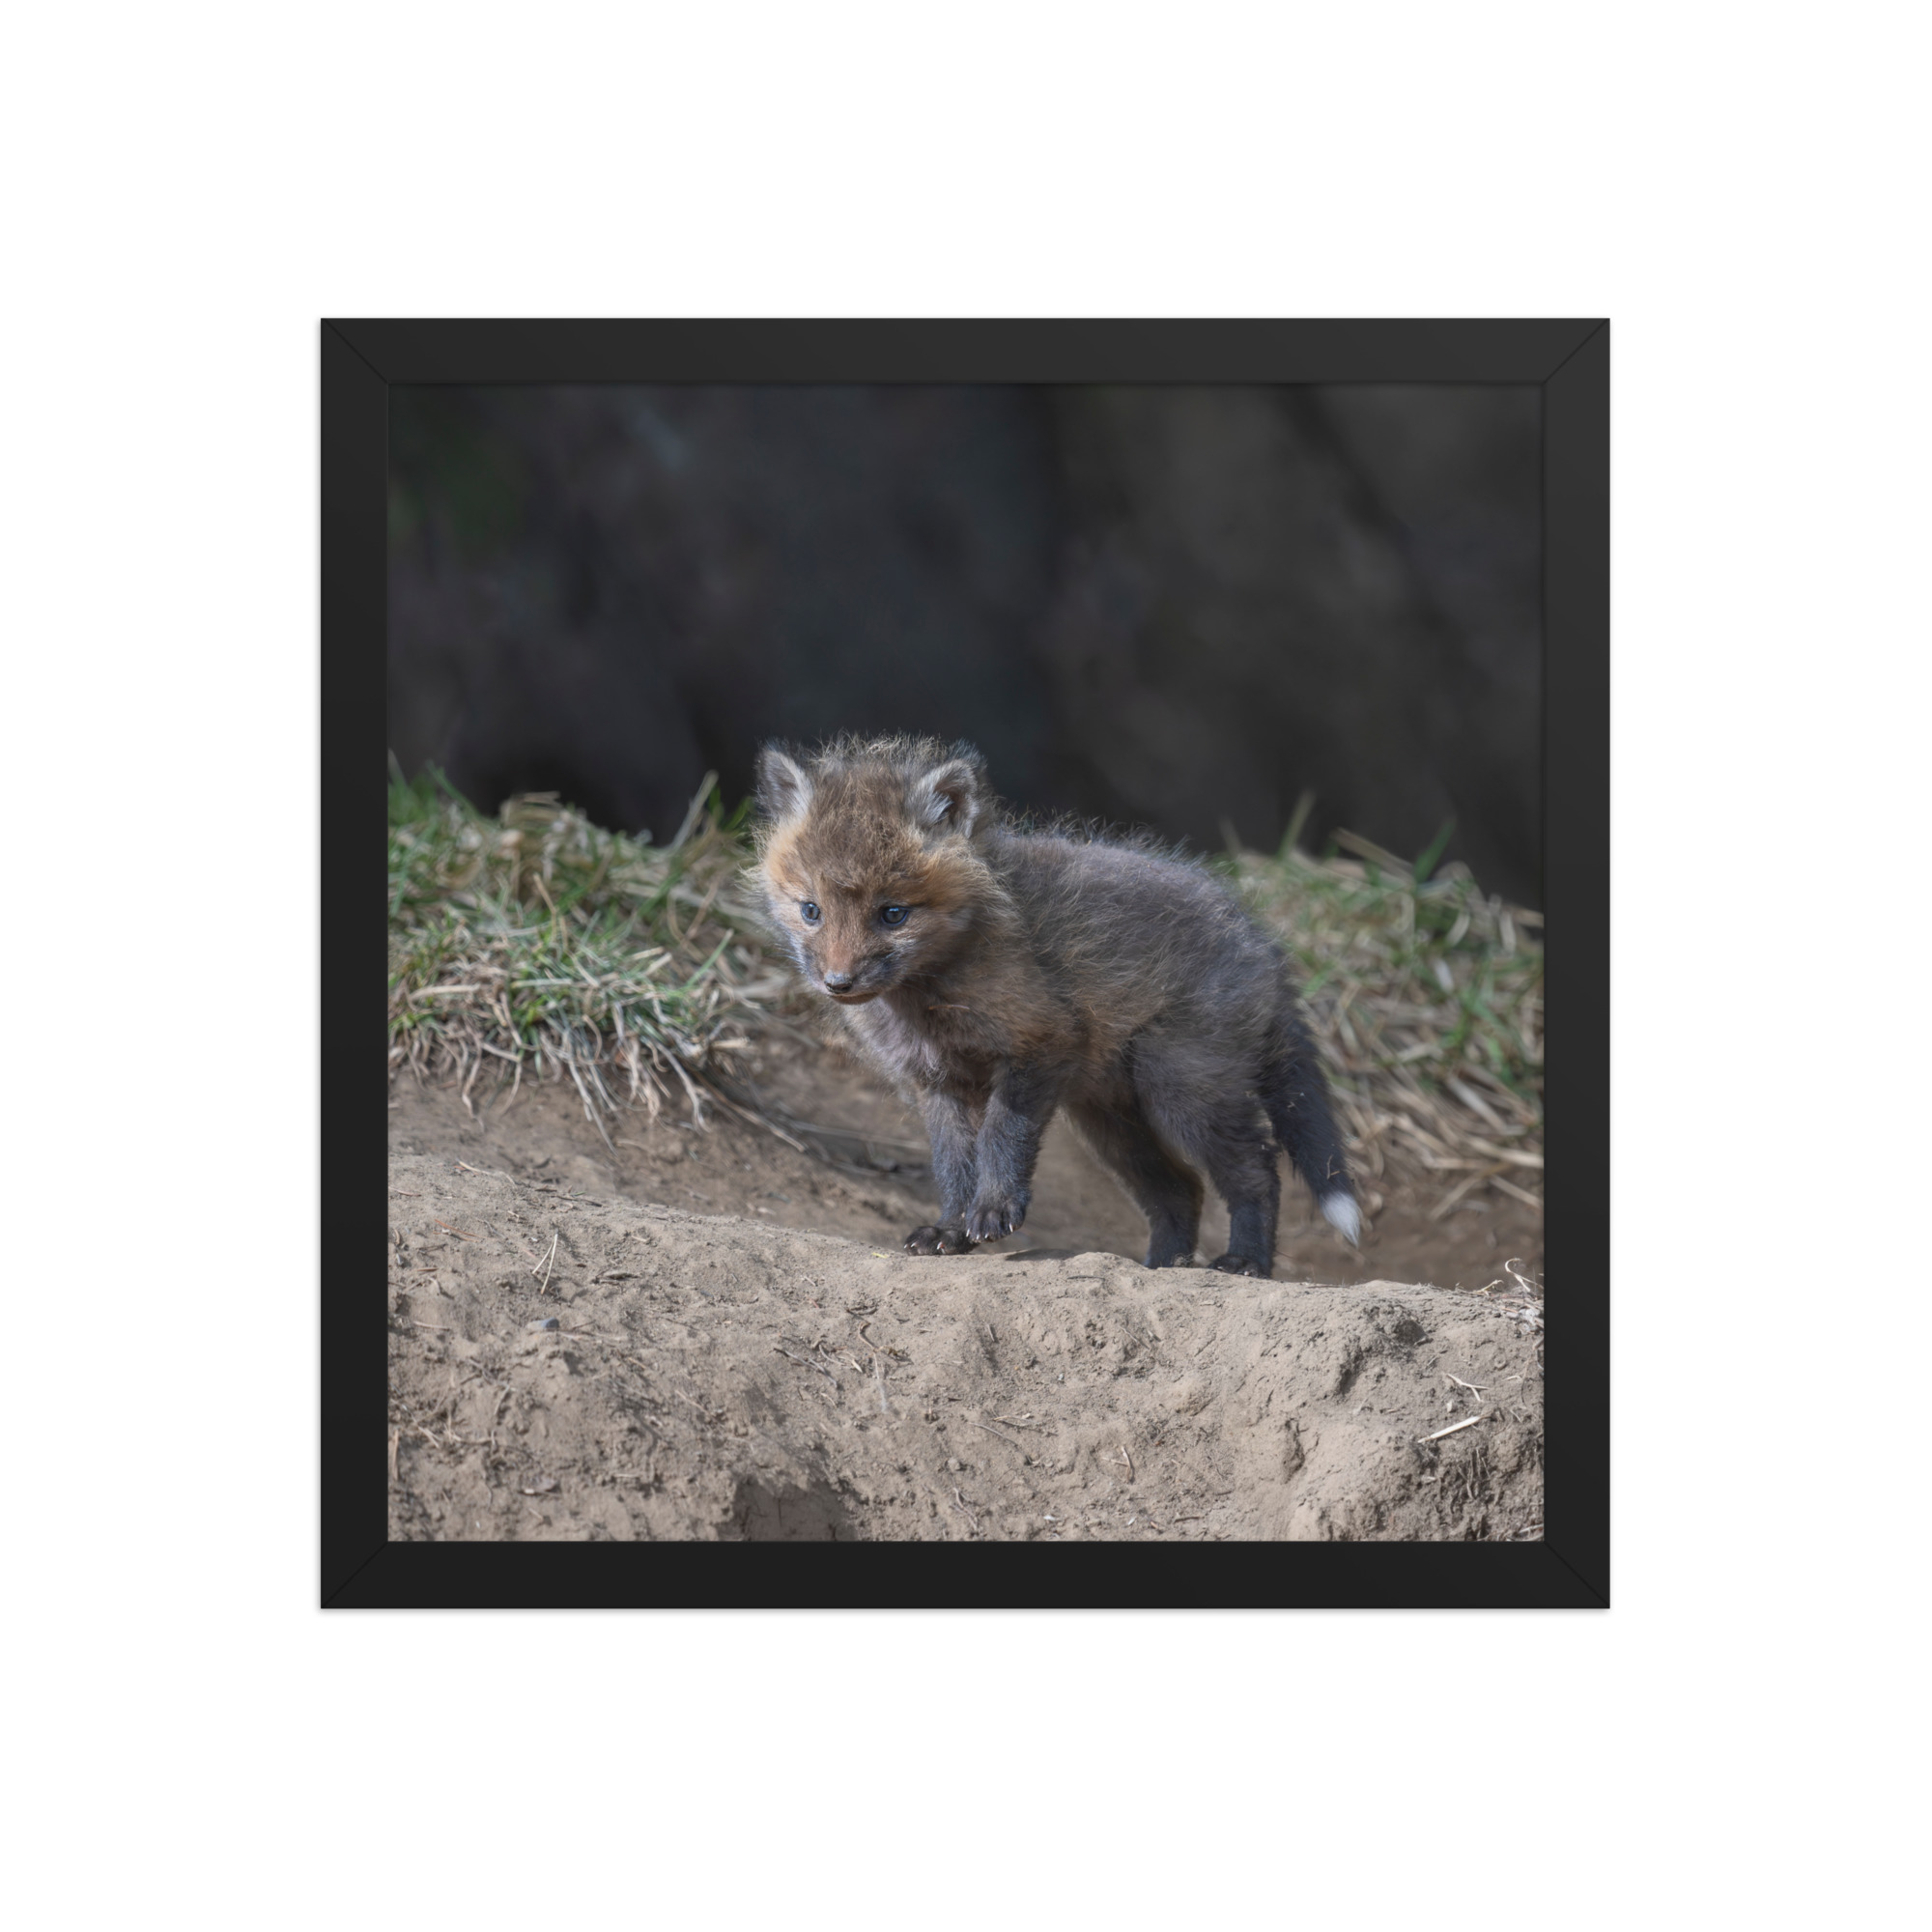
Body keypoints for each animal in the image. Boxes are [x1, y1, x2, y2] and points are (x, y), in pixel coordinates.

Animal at [752, 735, 1360, 1278]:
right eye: (811, 910)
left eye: (893, 914)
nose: (838, 983)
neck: (929, 1000)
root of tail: (1263, 943)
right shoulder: (938, 1082)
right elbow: (952, 1165)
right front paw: (950, 1230)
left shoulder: (1040, 1042)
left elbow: (1002, 1137)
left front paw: (994, 1210)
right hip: (1111, 1120)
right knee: (1181, 1190)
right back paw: (1163, 1267)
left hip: (1181, 1089)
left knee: (1257, 1170)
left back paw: (1246, 1262)